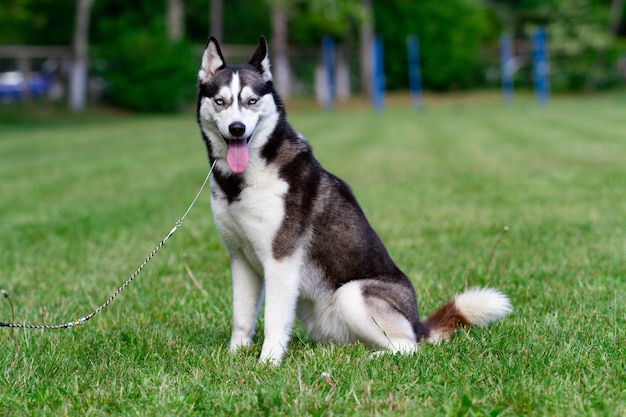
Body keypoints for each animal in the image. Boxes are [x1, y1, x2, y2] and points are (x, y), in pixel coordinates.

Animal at [197, 36, 510, 364]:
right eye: (220, 101)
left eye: (251, 101)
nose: (237, 128)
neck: (240, 182)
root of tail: (417, 323)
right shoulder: (240, 258)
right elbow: (241, 317)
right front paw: (235, 356)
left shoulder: (280, 260)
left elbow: (273, 318)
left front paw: (268, 363)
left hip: (352, 294)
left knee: (409, 346)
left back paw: (377, 358)